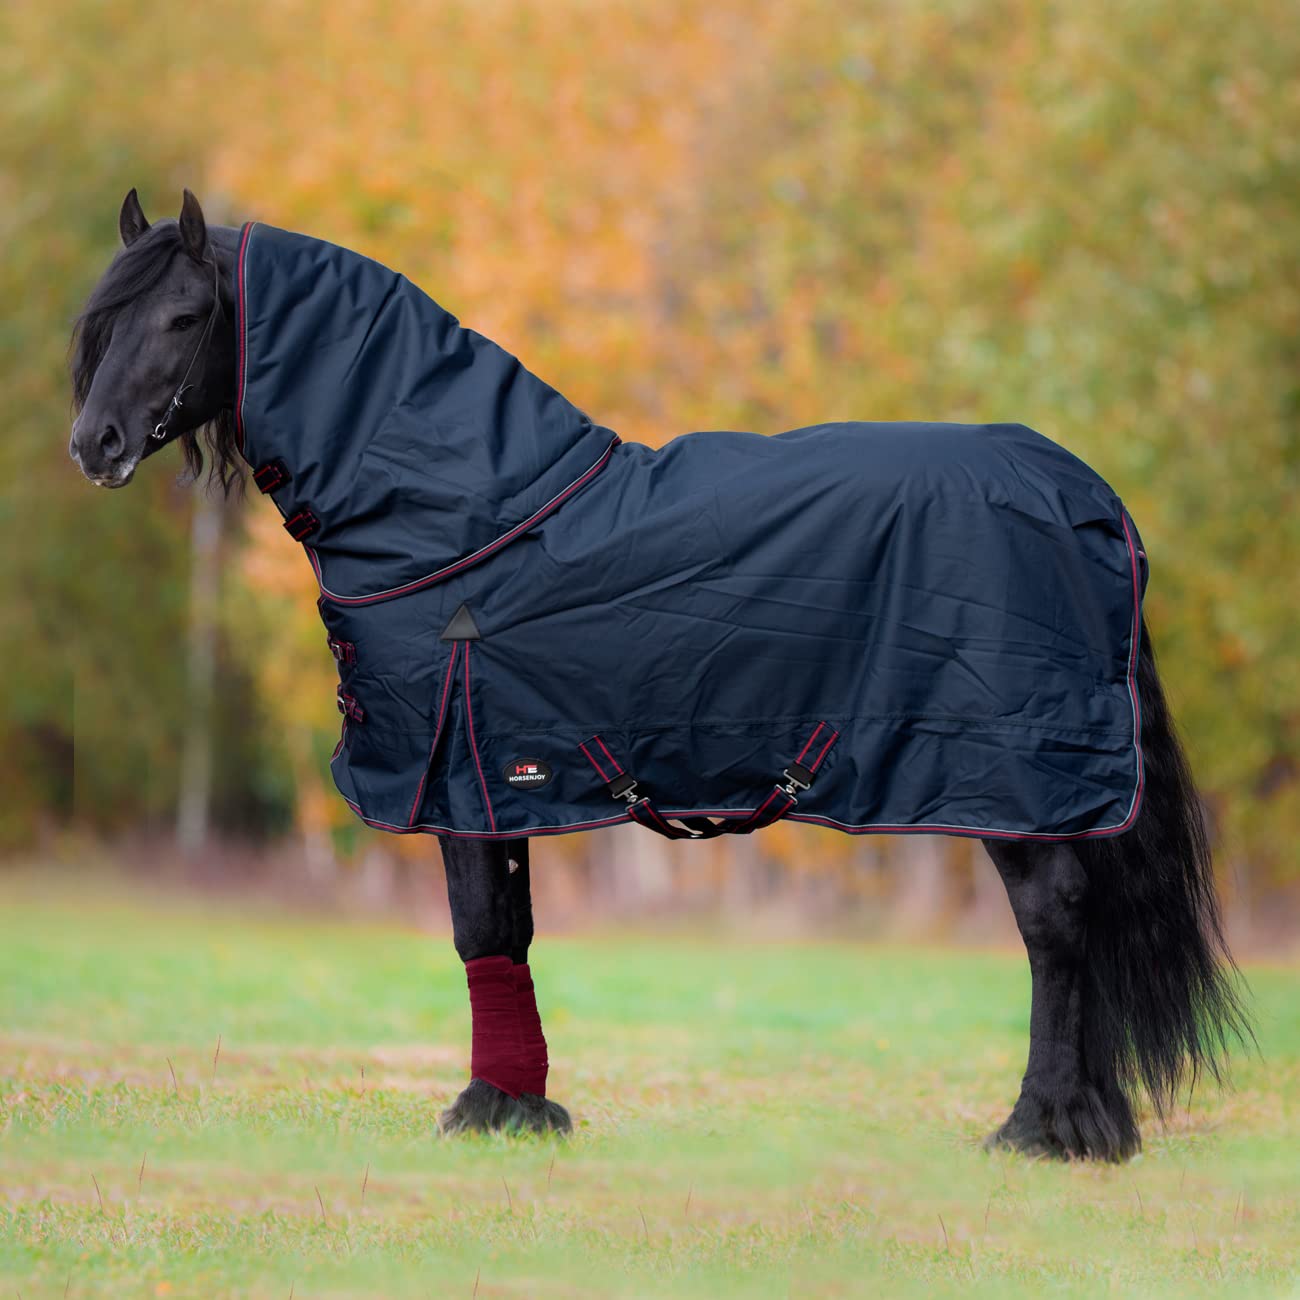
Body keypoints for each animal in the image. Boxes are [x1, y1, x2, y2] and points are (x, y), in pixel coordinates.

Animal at [68, 188, 1250, 1159]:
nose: (95, 443)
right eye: (103, 325)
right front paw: (519, 1107)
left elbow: (476, 928)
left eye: (184, 317)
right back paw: (1093, 1124)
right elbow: (506, 932)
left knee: (1054, 921)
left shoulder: (459, 767)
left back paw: (1040, 1126)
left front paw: (485, 1110)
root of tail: (1081, 489)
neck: (464, 513)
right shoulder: (500, 775)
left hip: (1007, 772)